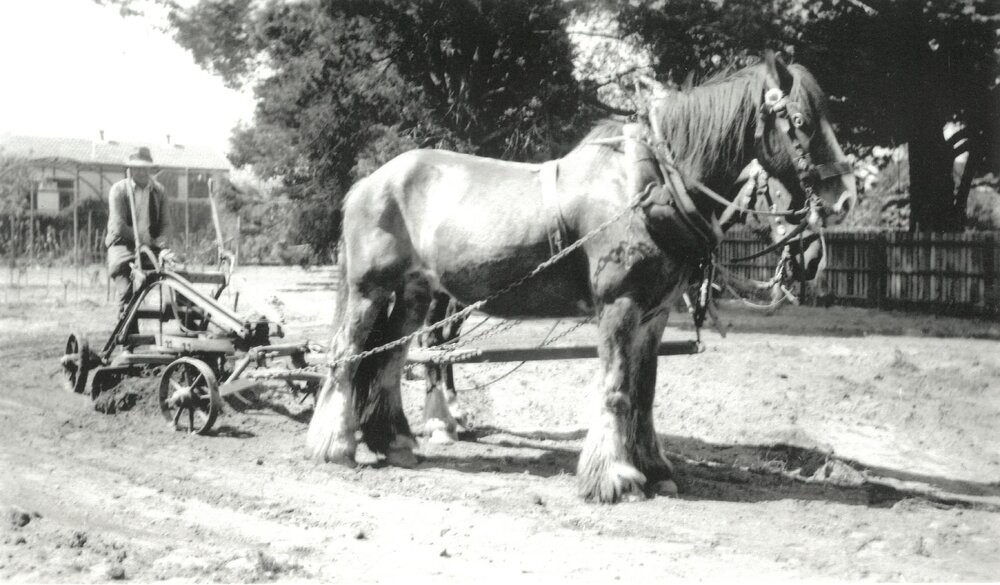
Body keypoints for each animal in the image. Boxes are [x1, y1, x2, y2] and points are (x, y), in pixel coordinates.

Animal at [307, 53, 856, 503]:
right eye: (801, 122)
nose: (846, 197)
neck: (650, 185)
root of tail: (370, 181)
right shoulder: (619, 305)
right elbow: (615, 389)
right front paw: (613, 477)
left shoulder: (654, 313)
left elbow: (643, 393)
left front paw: (655, 469)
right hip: (369, 291)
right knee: (348, 355)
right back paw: (335, 445)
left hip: (415, 294)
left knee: (390, 360)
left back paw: (395, 441)